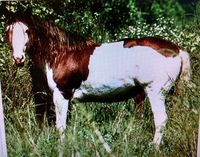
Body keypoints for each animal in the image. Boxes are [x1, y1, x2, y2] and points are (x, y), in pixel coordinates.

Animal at [5, 11, 191, 147]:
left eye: (27, 31)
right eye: (8, 31)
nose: (18, 58)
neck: (61, 54)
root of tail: (176, 49)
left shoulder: (61, 93)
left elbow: (61, 125)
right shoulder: (68, 97)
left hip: (155, 92)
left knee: (161, 119)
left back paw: (154, 147)